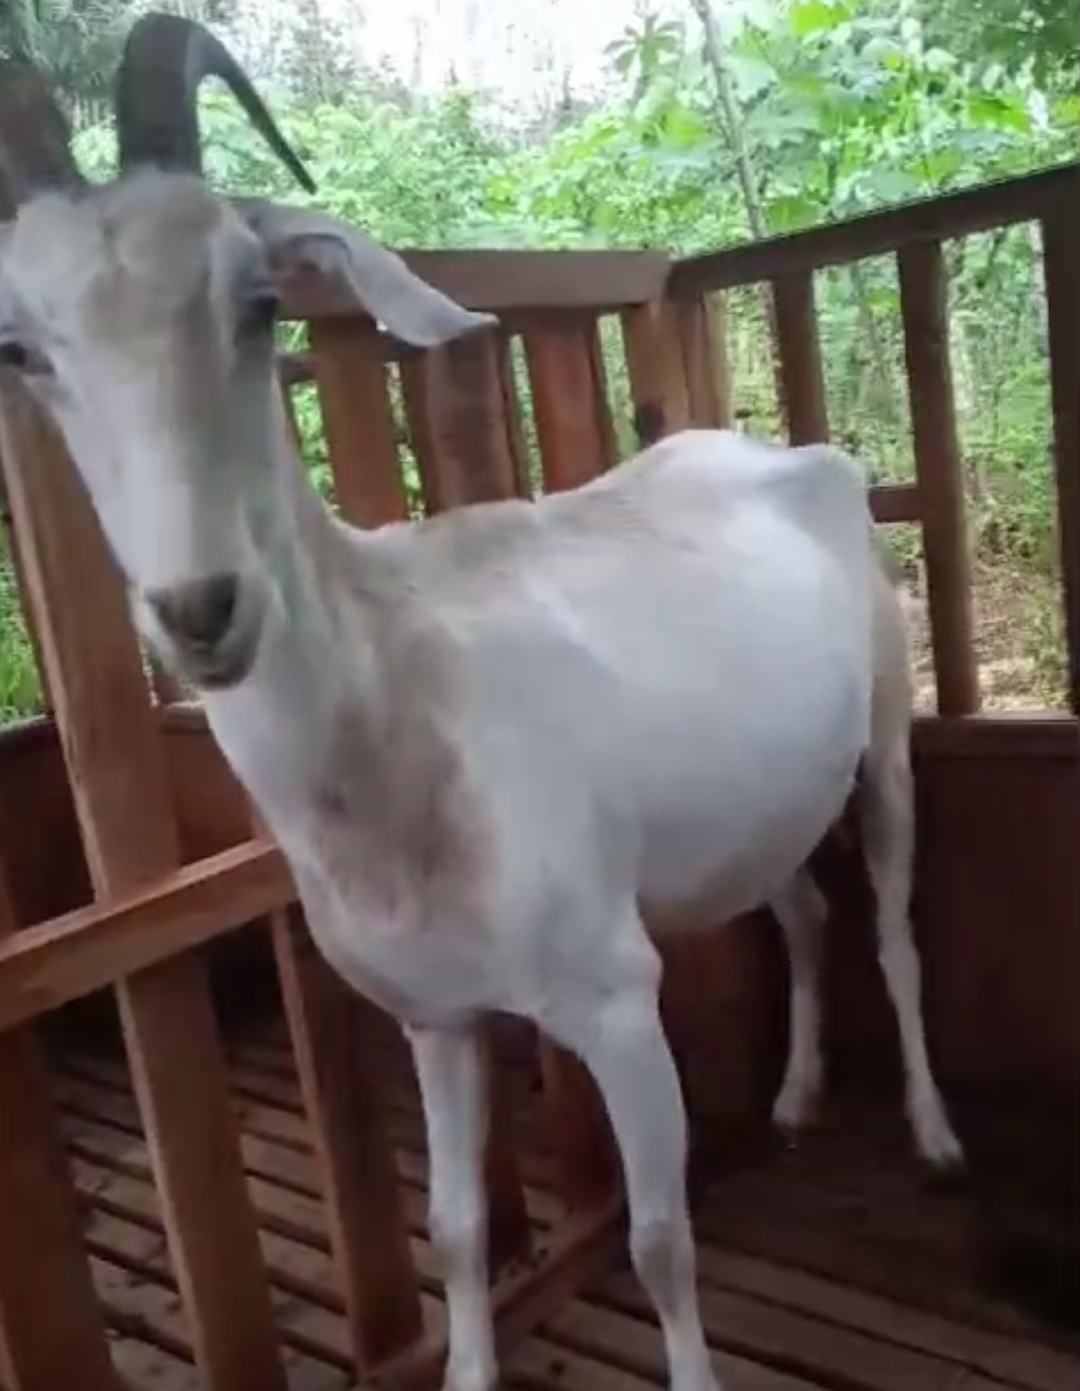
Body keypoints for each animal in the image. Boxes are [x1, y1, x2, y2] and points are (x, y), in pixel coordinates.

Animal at [0, 18, 962, 1391]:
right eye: (20, 347)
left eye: (261, 300)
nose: (201, 608)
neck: (401, 717)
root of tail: (791, 453)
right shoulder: (434, 1014)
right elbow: (454, 1231)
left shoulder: (612, 990)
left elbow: (660, 1238)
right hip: (761, 805)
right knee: (806, 909)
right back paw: (792, 1097)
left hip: (883, 730)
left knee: (889, 917)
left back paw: (933, 1131)